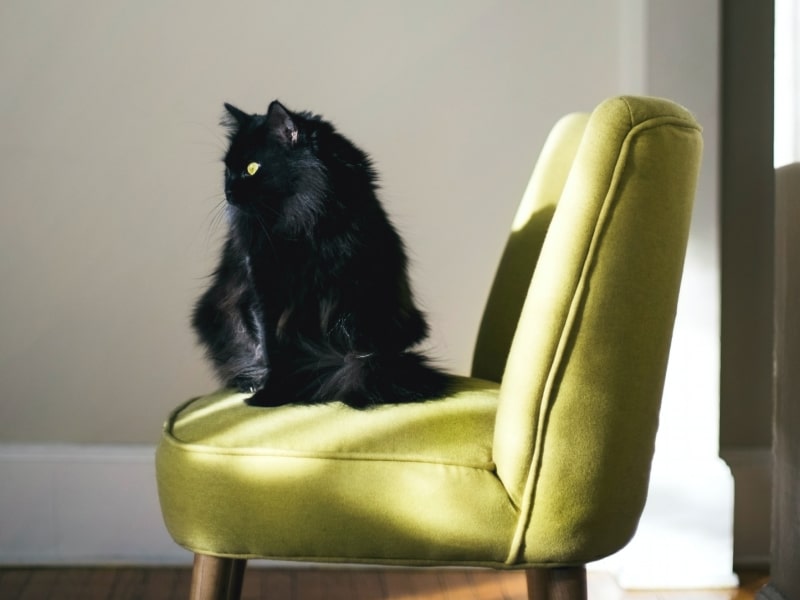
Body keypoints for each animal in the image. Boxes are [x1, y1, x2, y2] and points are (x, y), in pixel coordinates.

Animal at [190, 99, 446, 408]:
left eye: (252, 168)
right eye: (227, 170)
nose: (228, 192)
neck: (303, 225)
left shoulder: (353, 291)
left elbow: (355, 349)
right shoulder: (264, 290)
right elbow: (272, 348)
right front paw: (272, 392)